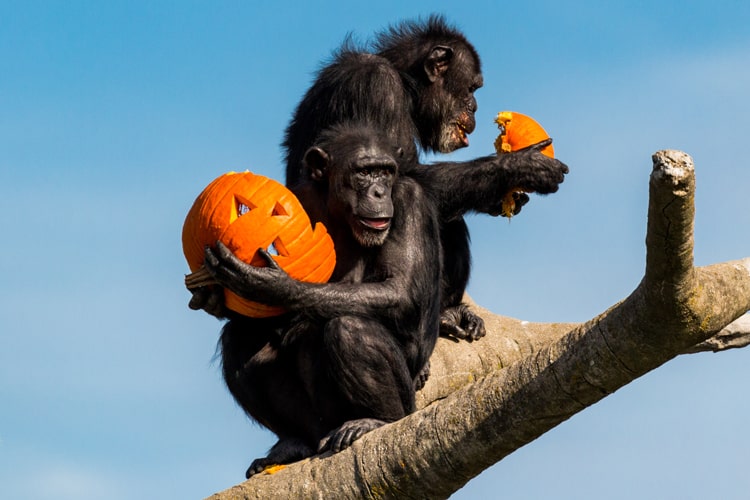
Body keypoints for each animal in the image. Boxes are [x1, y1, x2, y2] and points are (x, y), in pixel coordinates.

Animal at [203, 122, 444, 476]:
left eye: (386, 172)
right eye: (363, 172)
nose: (379, 192)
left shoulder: (409, 200)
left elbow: (399, 289)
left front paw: (271, 285)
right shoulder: (298, 194)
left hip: (402, 400)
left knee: (348, 328)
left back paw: (375, 421)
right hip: (318, 425)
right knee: (242, 338)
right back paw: (291, 443)